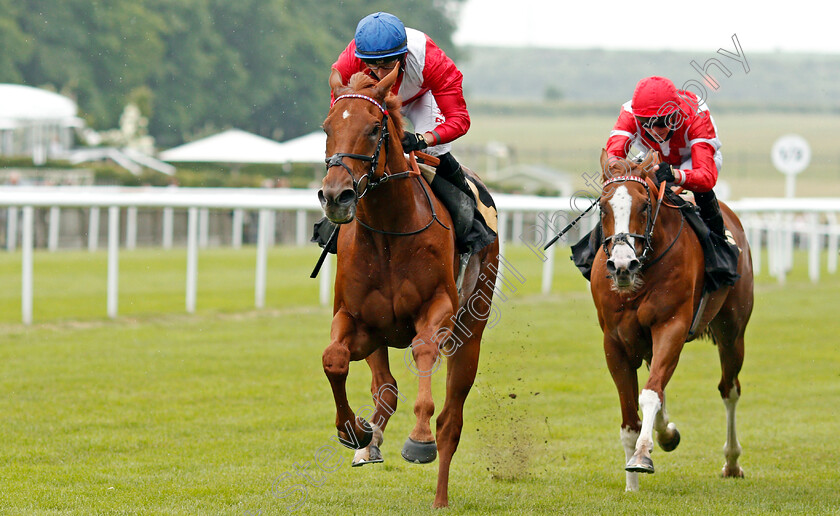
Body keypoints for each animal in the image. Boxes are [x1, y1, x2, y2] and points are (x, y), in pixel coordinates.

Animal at [318, 65, 496, 508]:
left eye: (373, 128)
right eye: (327, 127)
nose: (336, 196)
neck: (388, 229)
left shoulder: (439, 308)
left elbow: (424, 350)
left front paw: (418, 438)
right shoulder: (358, 320)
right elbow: (335, 359)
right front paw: (354, 430)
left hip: (472, 330)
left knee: (452, 420)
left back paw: (440, 497)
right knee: (386, 388)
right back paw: (370, 441)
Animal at [592, 150, 756, 492]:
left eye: (644, 205)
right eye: (603, 206)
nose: (622, 265)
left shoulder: (672, 327)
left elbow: (651, 393)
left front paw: (642, 455)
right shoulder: (614, 340)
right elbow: (631, 416)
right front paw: (631, 484)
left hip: (732, 332)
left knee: (729, 389)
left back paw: (732, 462)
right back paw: (666, 432)